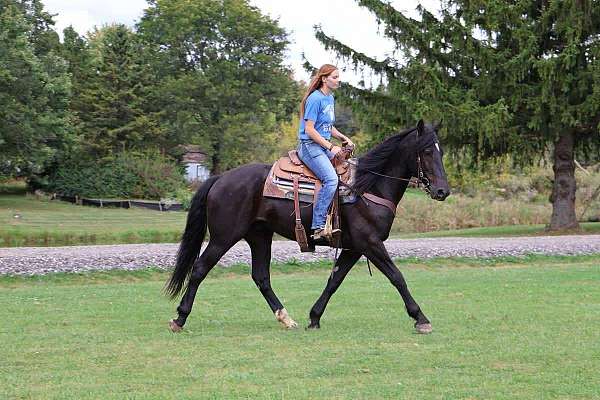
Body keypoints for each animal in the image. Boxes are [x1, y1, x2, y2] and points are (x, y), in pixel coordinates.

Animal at [166, 119, 448, 334]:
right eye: (426, 152)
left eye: (440, 151)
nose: (442, 191)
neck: (367, 187)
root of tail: (220, 178)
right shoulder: (370, 243)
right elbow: (397, 277)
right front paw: (420, 318)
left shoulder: (354, 248)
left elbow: (335, 280)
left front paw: (314, 316)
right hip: (223, 237)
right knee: (200, 269)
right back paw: (180, 318)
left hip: (259, 236)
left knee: (261, 277)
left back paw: (286, 318)